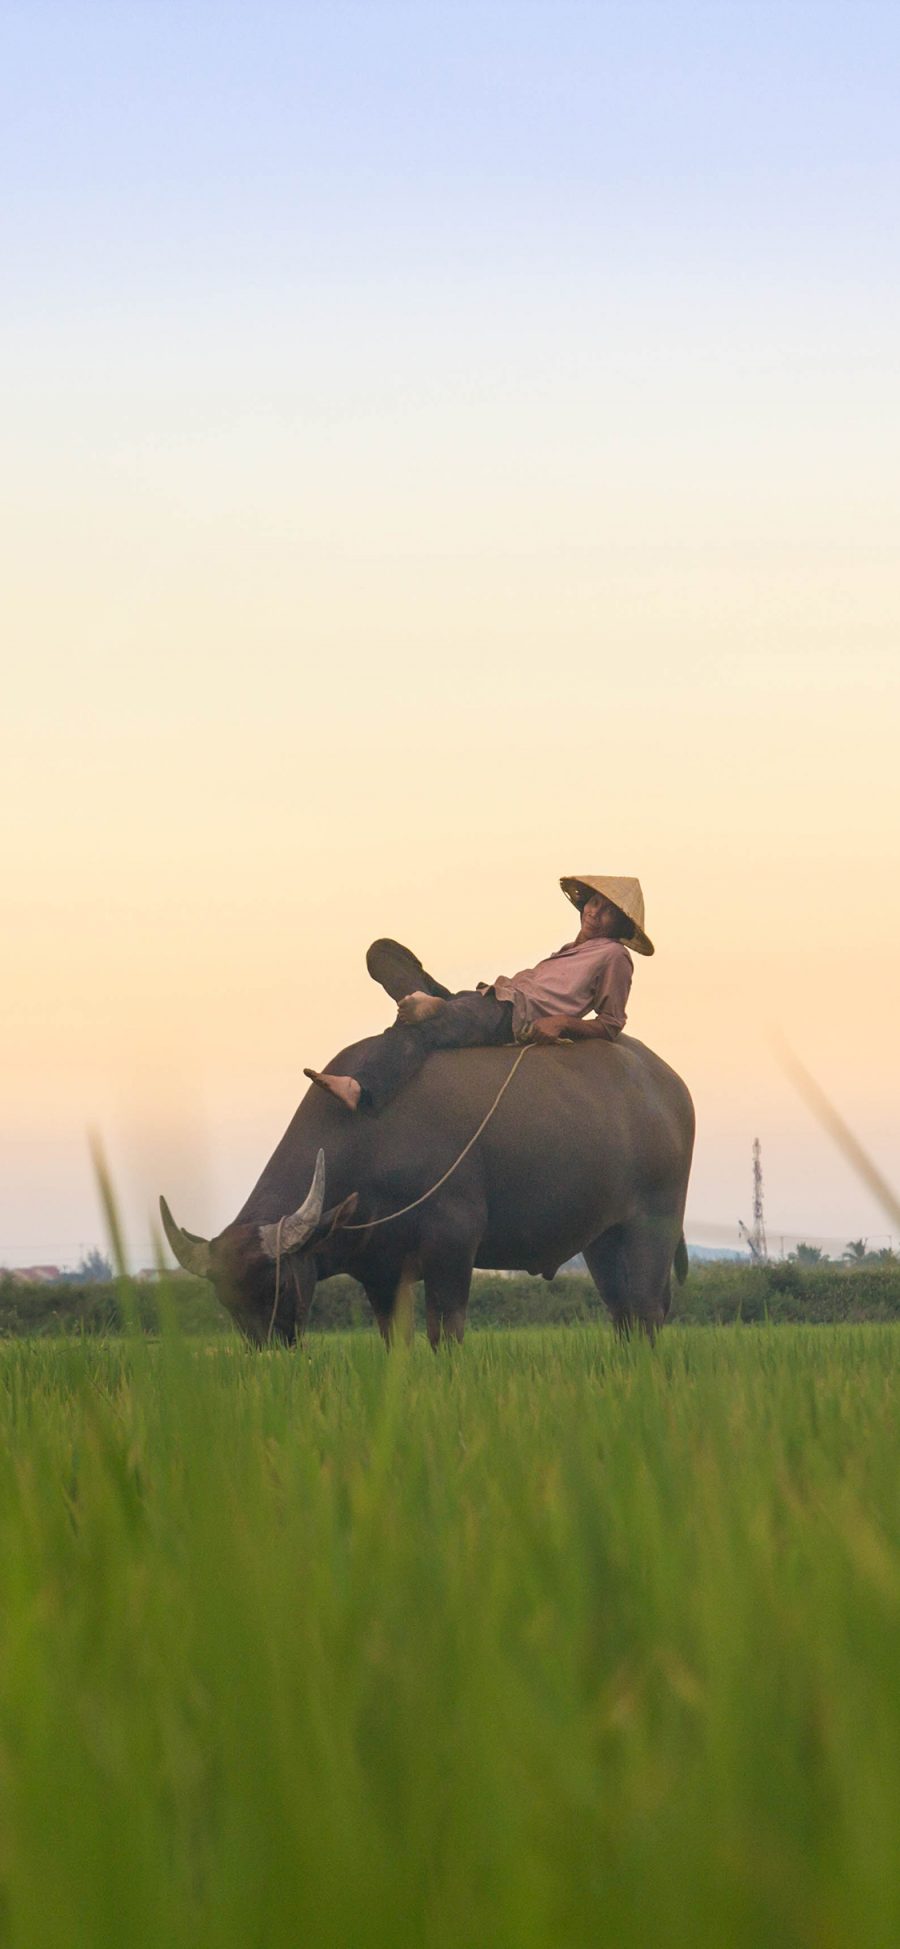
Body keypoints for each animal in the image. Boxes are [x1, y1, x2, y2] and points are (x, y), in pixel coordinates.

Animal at [161, 1036, 697, 1340]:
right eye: (227, 1301)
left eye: (276, 1286)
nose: (271, 1351)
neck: (372, 1137)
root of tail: (668, 1085)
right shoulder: (380, 1274)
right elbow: (395, 1341)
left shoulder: (452, 1247)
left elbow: (446, 1331)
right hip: (602, 1240)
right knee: (623, 1313)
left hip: (653, 1225)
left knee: (647, 1310)